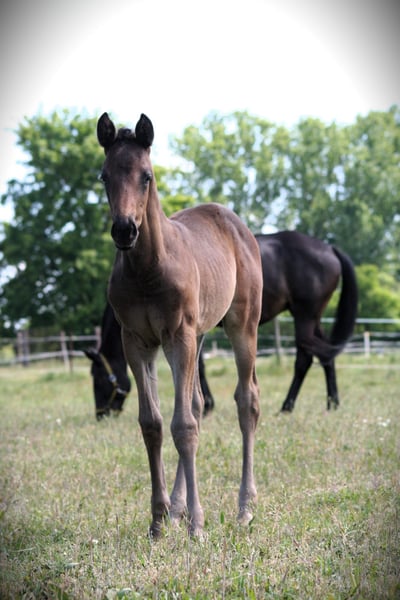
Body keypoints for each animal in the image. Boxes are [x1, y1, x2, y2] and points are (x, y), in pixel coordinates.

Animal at [96, 112, 263, 537]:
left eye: (147, 176)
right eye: (104, 176)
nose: (124, 229)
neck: (147, 270)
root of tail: (233, 220)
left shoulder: (178, 336)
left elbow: (183, 427)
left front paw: (197, 526)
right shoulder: (137, 342)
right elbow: (154, 424)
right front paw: (158, 520)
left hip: (241, 325)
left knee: (246, 401)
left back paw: (244, 508)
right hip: (199, 334)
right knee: (197, 404)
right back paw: (177, 508)